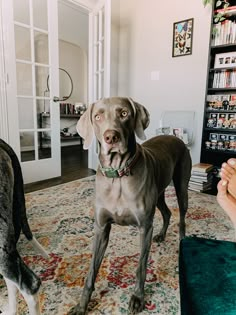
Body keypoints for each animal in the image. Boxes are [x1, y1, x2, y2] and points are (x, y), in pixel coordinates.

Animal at [70, 97, 192, 314]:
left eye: (124, 113)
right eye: (97, 116)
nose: (111, 137)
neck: (118, 174)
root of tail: (176, 137)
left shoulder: (144, 227)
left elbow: (140, 266)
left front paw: (137, 298)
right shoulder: (101, 227)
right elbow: (92, 269)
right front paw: (82, 304)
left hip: (181, 187)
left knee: (182, 218)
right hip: (159, 193)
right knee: (167, 212)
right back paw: (162, 235)